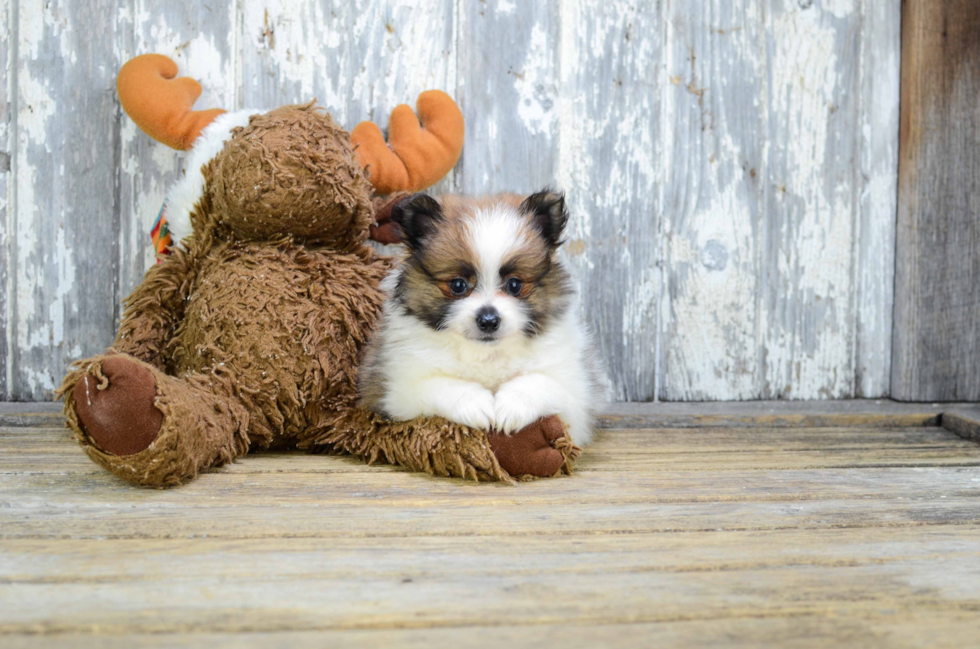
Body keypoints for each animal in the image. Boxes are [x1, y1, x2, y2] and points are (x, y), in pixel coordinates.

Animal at [356, 187, 592, 446]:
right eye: (458, 285)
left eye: (514, 285)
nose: (488, 321)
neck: (485, 354)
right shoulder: (394, 390)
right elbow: (440, 384)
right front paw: (474, 403)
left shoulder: (575, 400)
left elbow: (541, 382)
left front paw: (512, 406)